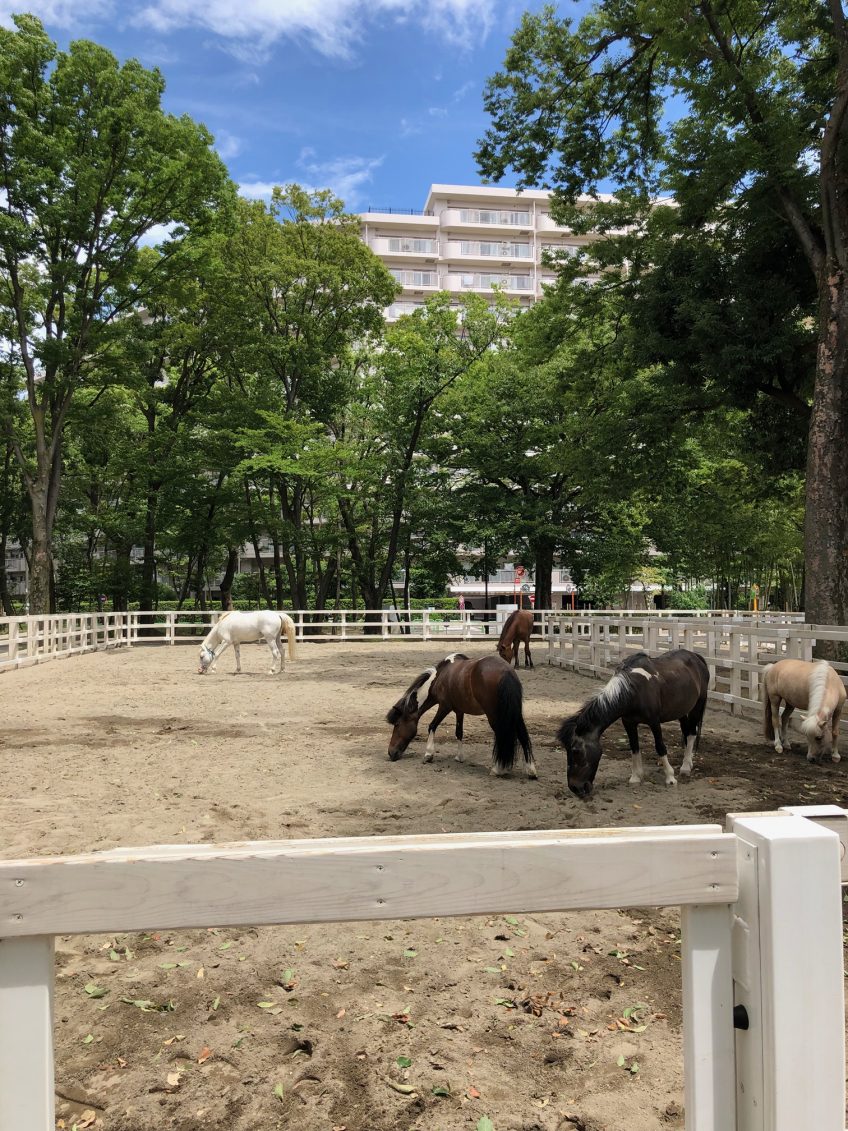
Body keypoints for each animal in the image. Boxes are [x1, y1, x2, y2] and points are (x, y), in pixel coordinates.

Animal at [386, 655, 538, 778]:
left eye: (397, 724)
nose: (391, 753)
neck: (440, 677)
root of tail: (506, 671)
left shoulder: (444, 707)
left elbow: (432, 726)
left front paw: (428, 754)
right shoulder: (459, 711)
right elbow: (459, 732)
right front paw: (459, 757)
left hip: (495, 716)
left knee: (503, 735)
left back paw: (497, 769)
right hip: (514, 714)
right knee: (522, 735)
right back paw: (530, 770)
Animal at [558, 651, 710, 800]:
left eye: (576, 751)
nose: (575, 788)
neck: (634, 689)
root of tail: (696, 657)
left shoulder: (654, 722)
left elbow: (660, 747)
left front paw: (670, 778)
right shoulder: (628, 723)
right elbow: (634, 746)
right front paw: (636, 777)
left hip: (697, 705)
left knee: (691, 734)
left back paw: (685, 767)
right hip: (681, 710)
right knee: (686, 732)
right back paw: (687, 762)